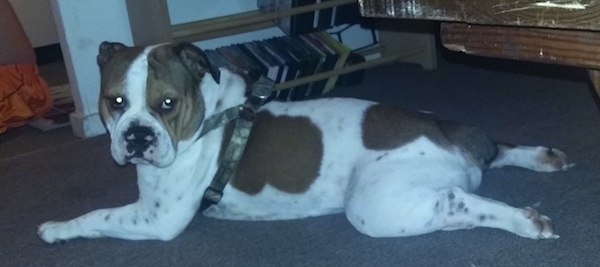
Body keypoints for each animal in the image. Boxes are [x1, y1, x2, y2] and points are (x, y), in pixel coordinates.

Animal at [37, 42, 572, 245]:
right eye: (115, 102)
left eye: (166, 104)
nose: (137, 136)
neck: (209, 115)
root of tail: (441, 132)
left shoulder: (155, 218)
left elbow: (98, 216)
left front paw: (57, 228)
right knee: (496, 152)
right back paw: (542, 157)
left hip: (375, 204)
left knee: (460, 201)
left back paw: (523, 220)